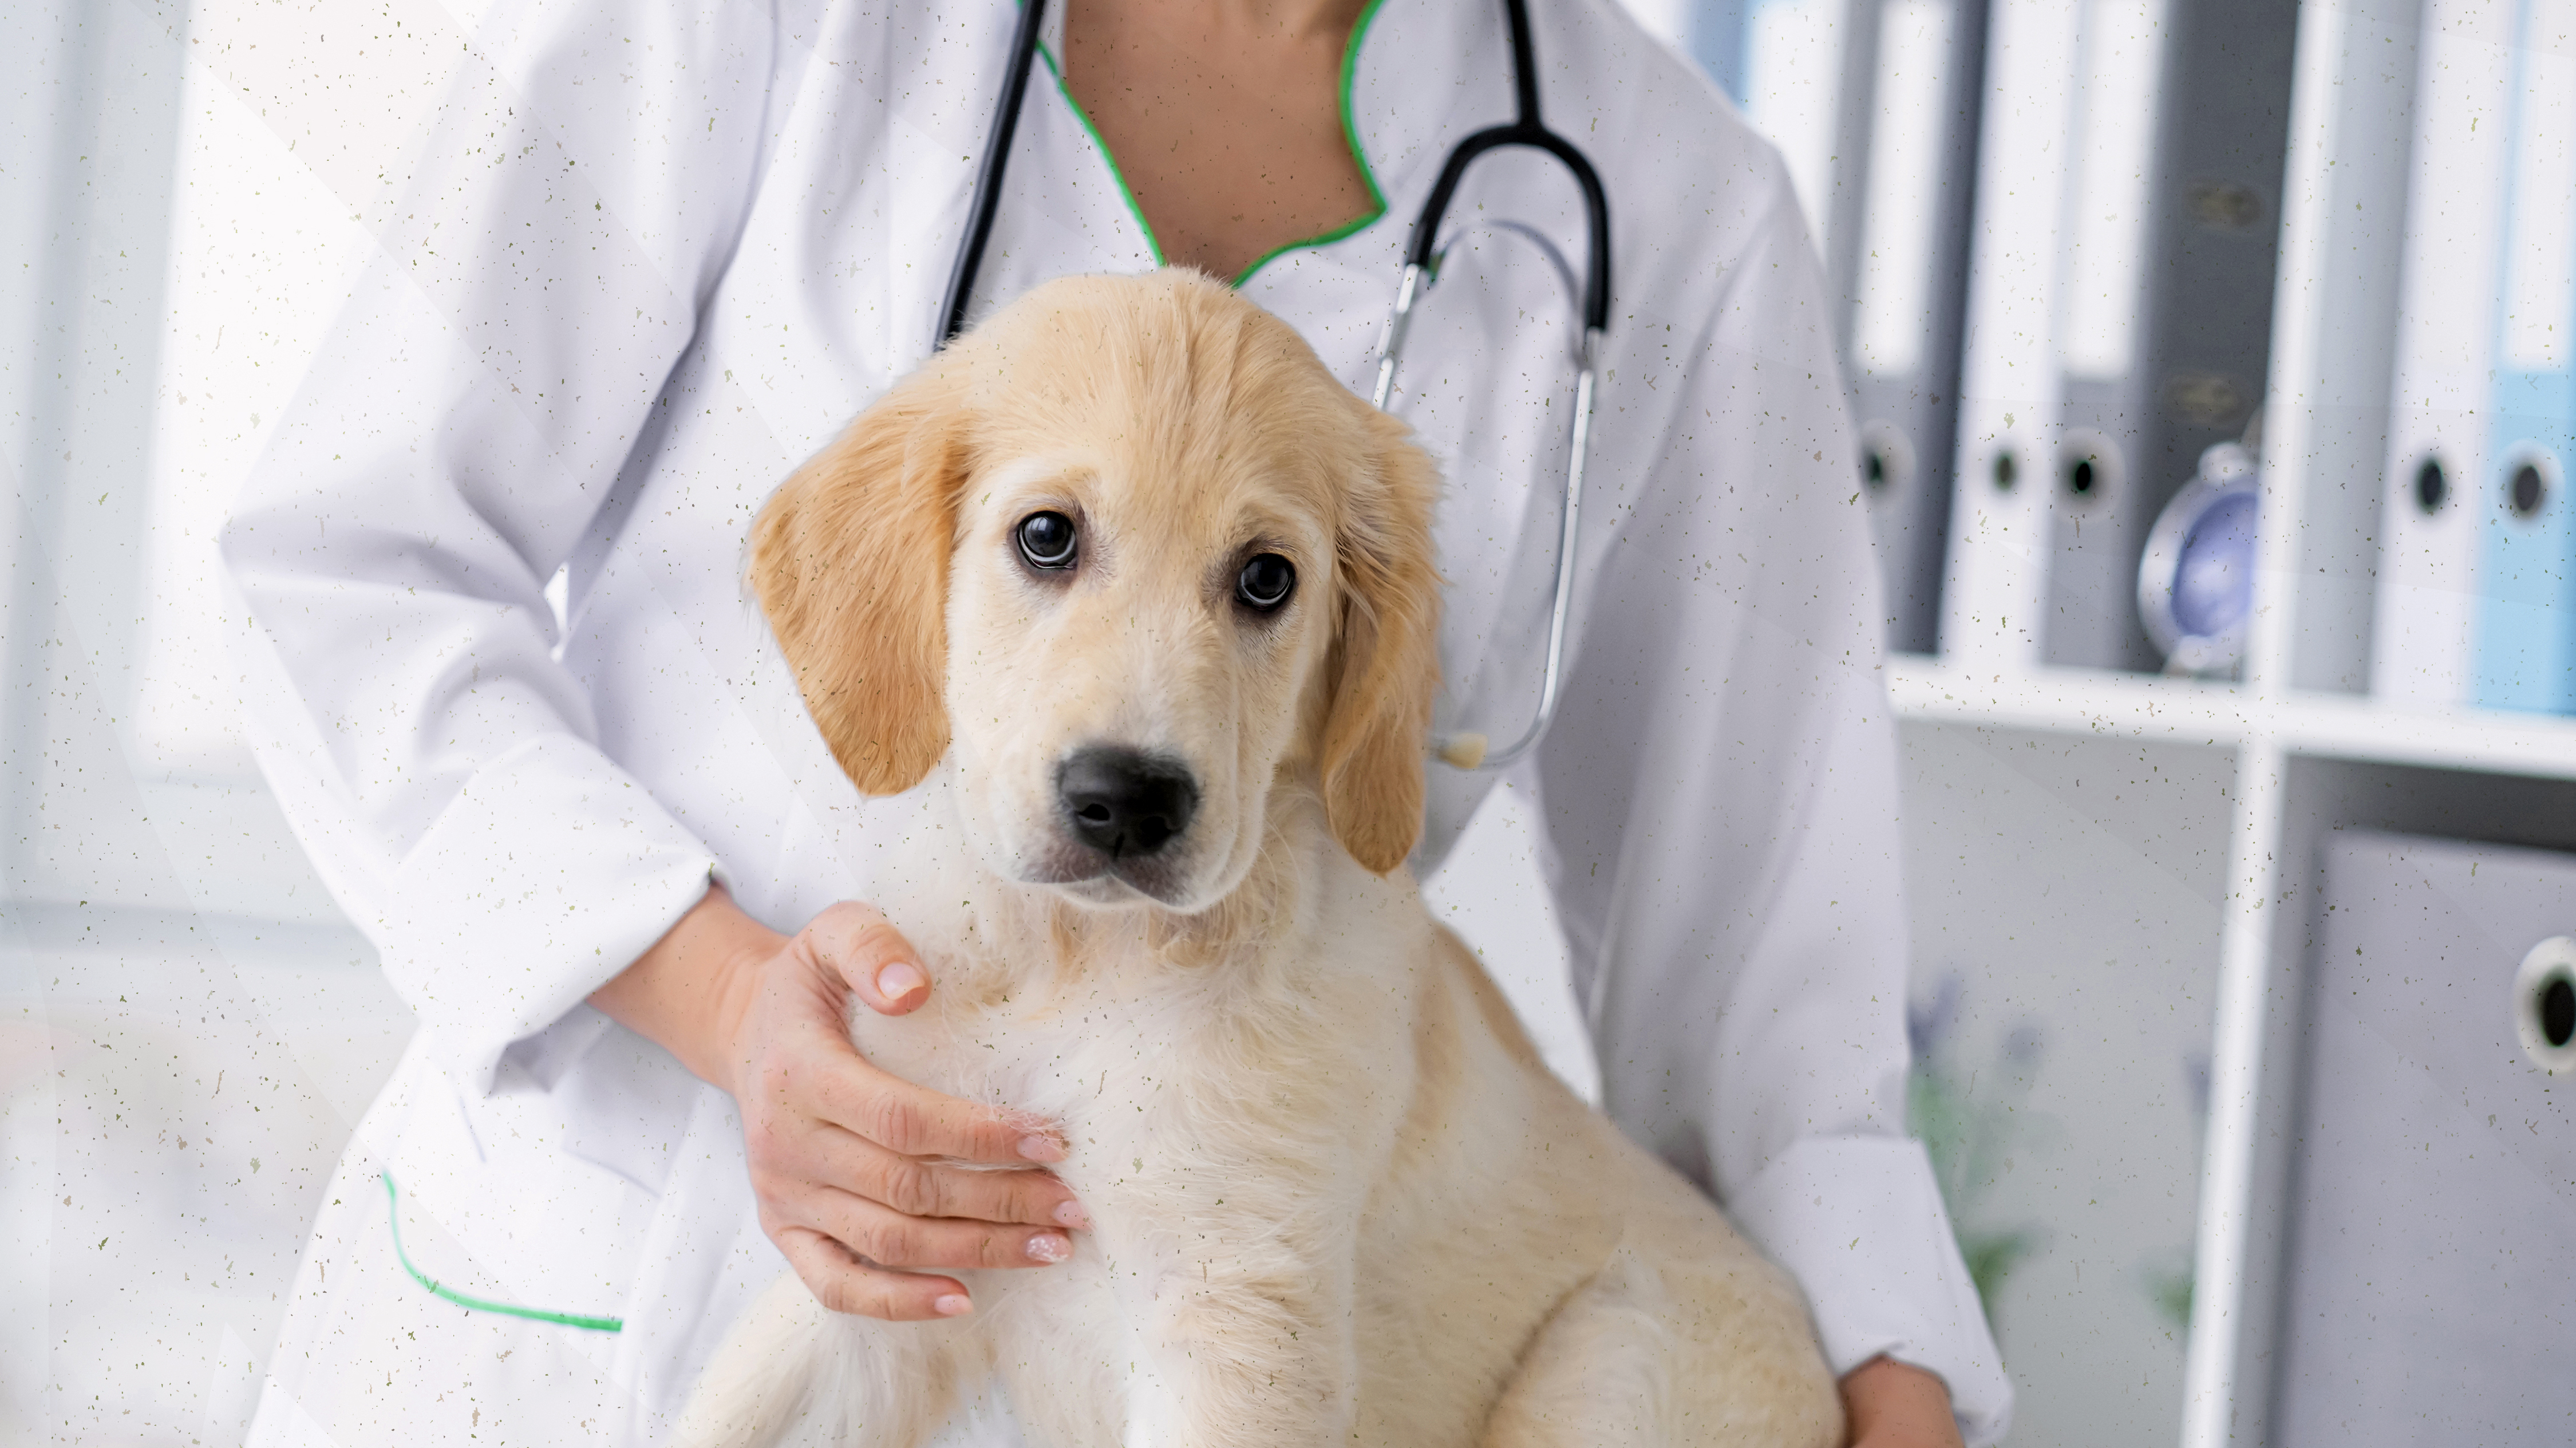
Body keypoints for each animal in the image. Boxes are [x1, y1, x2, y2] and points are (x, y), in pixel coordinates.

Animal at [685, 270, 1844, 1443]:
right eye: (1047, 535)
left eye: (1266, 579)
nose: (1128, 801)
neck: (1084, 963)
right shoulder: (894, 1226)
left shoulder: (1237, 1315)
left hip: (1613, 1353)